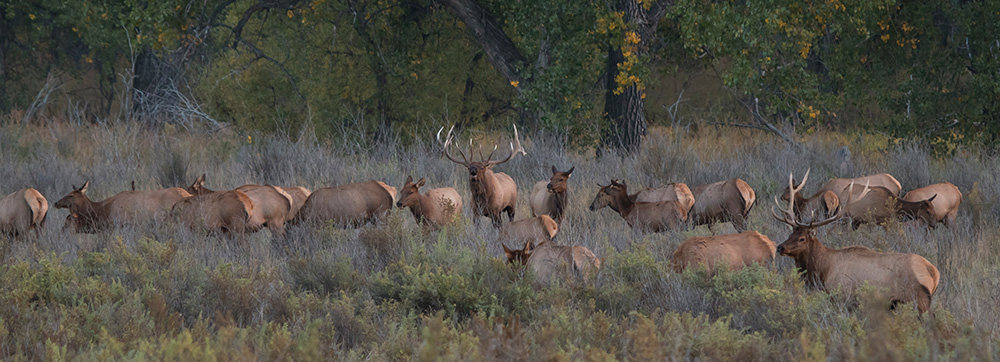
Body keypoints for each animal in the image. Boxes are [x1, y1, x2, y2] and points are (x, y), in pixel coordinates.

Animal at [768, 178, 940, 314]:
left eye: (802, 238)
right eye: (791, 234)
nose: (780, 247)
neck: (824, 269)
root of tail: (934, 272)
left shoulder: (843, 296)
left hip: (918, 300)